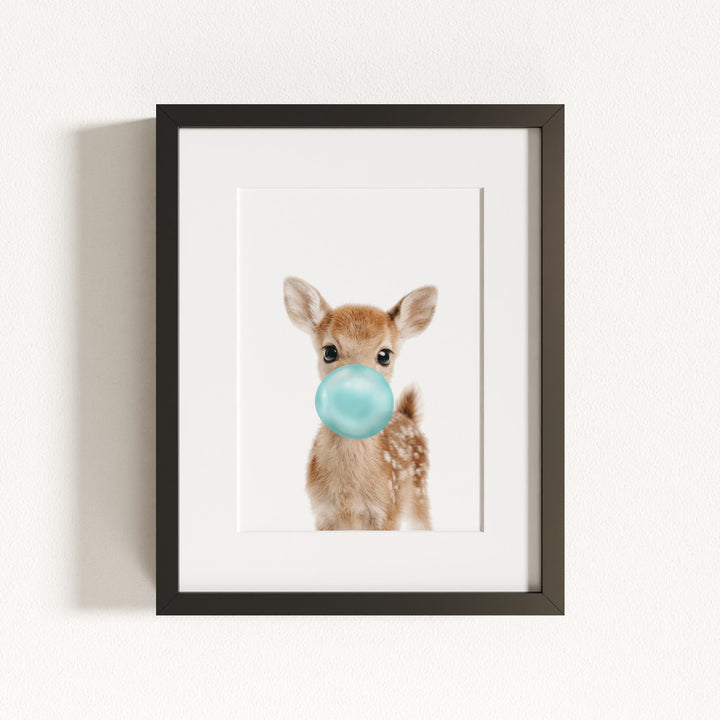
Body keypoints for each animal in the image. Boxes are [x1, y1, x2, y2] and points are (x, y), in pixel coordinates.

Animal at [283, 277, 437, 531]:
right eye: (329, 351)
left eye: (384, 355)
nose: (355, 390)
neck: (348, 495)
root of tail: (408, 416)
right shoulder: (323, 514)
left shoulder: (387, 512)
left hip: (419, 492)